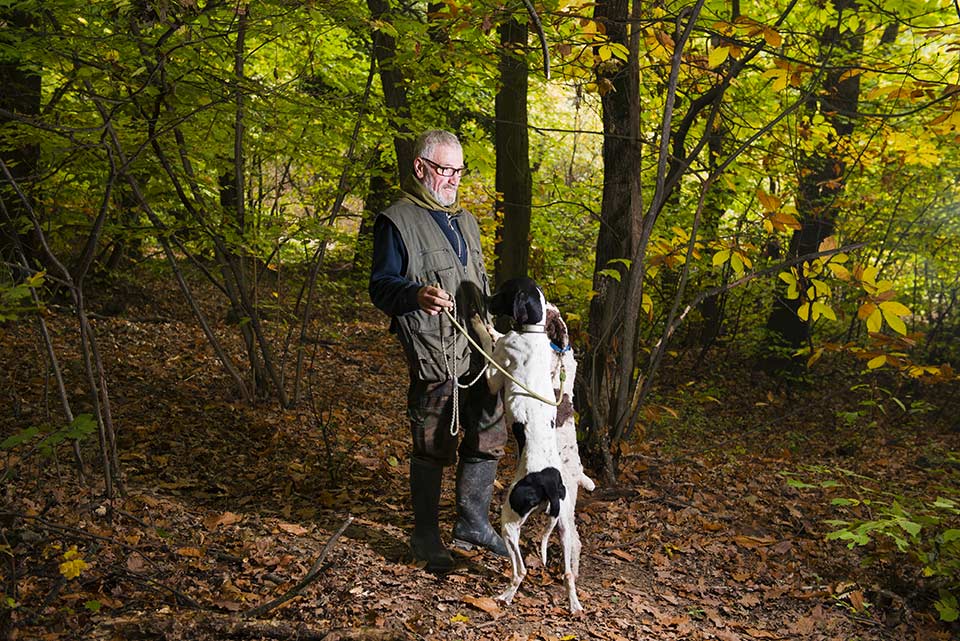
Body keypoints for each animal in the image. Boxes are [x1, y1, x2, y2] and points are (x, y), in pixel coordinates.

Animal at [470, 276, 584, 616]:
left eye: (505, 291)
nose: (485, 297)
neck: (532, 333)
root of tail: (550, 484)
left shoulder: (495, 375)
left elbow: (490, 341)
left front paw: (481, 323)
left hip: (510, 517)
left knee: (519, 570)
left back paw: (505, 596)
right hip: (563, 527)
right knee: (568, 571)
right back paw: (574, 605)